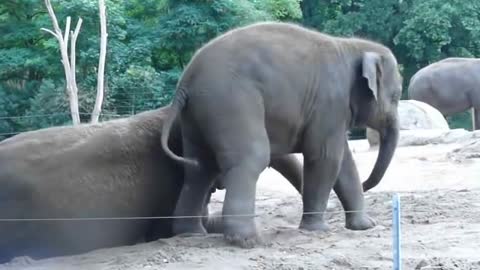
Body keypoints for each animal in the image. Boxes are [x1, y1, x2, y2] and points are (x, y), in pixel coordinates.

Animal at [163, 22, 404, 248]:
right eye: (396, 96)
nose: (367, 184)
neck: (353, 46)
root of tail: (186, 81)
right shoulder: (330, 102)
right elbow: (325, 157)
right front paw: (317, 230)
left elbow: (344, 162)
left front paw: (365, 226)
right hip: (231, 101)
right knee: (252, 157)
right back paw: (248, 241)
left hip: (197, 115)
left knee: (199, 169)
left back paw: (190, 233)